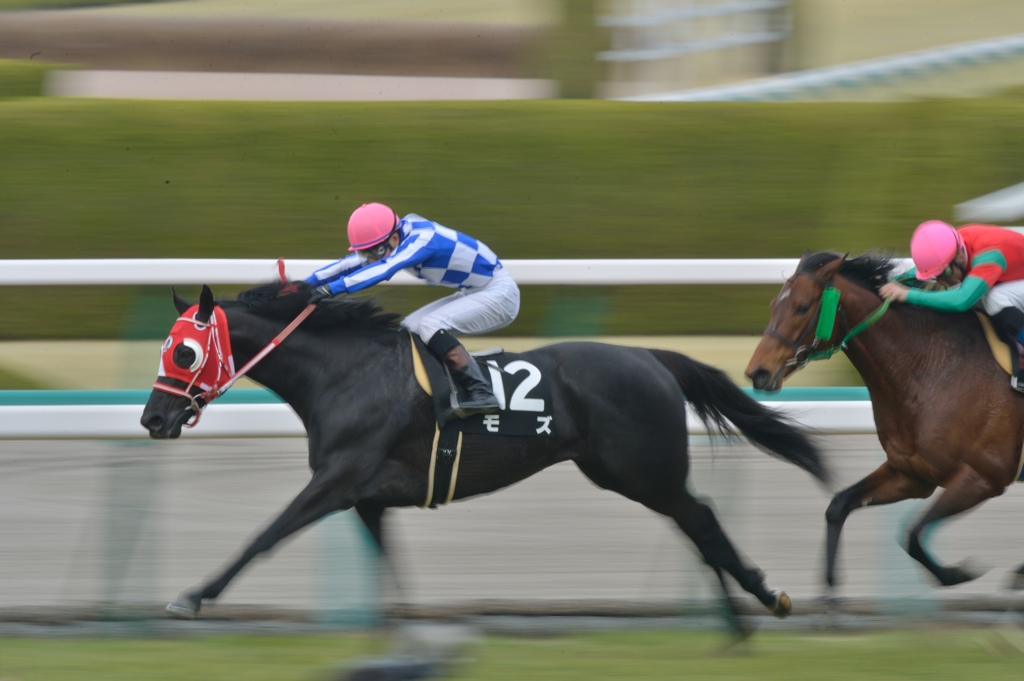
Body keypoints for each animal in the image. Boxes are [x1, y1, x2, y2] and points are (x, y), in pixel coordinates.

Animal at [140, 281, 828, 634]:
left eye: (184, 352)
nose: (152, 419)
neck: (347, 372)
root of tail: (652, 356)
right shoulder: (368, 498)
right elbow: (390, 567)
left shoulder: (337, 481)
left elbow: (264, 536)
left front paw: (192, 597)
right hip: (628, 472)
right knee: (695, 523)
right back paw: (742, 616)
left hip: (643, 470)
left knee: (702, 519)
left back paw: (762, 604)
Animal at [745, 251, 1024, 591]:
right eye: (774, 305)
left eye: (802, 306)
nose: (757, 373)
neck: (930, 370)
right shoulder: (911, 475)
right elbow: (838, 505)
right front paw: (830, 588)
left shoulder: (983, 477)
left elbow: (913, 535)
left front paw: (958, 573)